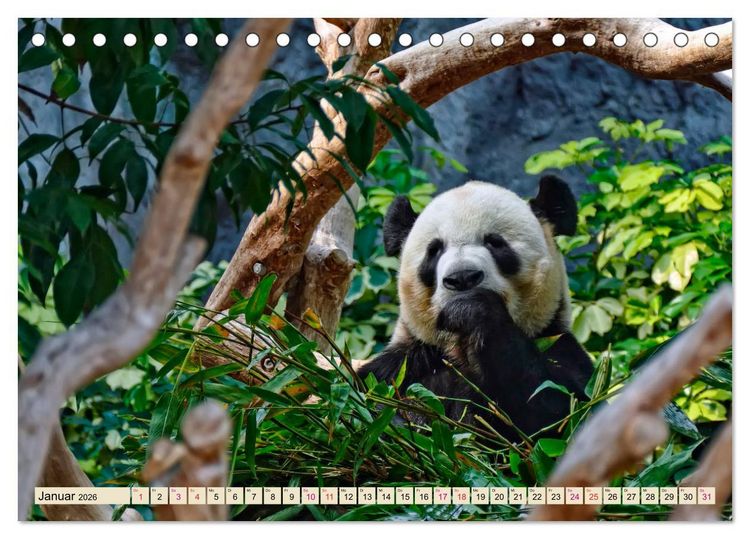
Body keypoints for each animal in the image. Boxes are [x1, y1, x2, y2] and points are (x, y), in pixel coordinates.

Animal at [356, 175, 594, 441]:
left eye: (495, 242)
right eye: (434, 250)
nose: (462, 277)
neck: (459, 348)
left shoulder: (558, 344)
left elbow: (558, 414)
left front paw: (471, 308)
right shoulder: (406, 363)